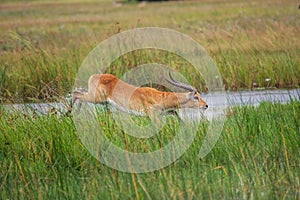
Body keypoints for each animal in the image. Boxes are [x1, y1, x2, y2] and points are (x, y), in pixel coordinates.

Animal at [72, 72, 209, 117]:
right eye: (196, 97)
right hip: (97, 99)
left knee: (78, 94)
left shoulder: (167, 112)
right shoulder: (153, 116)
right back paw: (69, 114)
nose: (206, 105)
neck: (160, 97)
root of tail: (93, 76)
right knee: (76, 94)